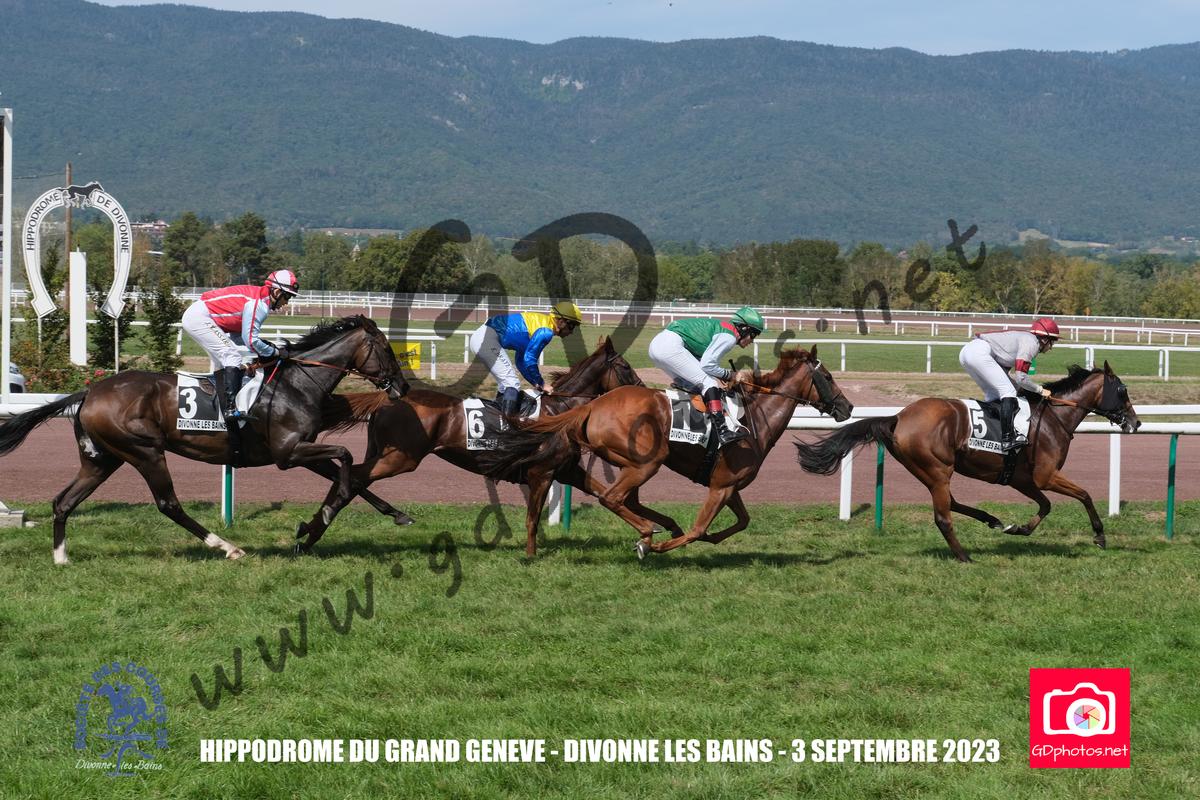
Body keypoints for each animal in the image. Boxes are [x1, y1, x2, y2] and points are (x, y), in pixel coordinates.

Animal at [0, 315, 406, 564]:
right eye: (388, 349)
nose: (402, 387)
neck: (297, 383)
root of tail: (89, 391)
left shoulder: (302, 450)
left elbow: (352, 476)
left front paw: (396, 514)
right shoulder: (288, 452)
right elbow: (346, 459)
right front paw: (319, 519)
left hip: (102, 459)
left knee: (63, 501)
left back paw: (61, 558)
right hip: (145, 451)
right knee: (169, 504)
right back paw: (226, 547)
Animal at [293, 336, 644, 554]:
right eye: (626, 367)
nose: (644, 388)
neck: (560, 411)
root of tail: (388, 398)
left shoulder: (568, 471)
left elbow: (605, 495)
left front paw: (647, 535)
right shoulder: (541, 473)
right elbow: (532, 519)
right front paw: (530, 556)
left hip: (383, 452)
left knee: (350, 480)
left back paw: (311, 533)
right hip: (400, 458)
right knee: (352, 477)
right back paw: (315, 531)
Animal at [482, 346, 854, 557]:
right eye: (828, 376)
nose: (847, 407)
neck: (753, 419)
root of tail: (592, 405)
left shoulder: (729, 484)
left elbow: (742, 521)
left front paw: (709, 540)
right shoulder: (721, 486)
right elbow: (699, 529)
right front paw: (661, 547)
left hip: (632, 462)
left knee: (626, 499)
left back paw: (659, 527)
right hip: (649, 461)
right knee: (613, 498)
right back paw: (648, 536)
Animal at [795, 361, 1141, 562]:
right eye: (1123, 390)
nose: (1136, 423)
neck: (1055, 418)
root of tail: (897, 418)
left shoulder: (1023, 479)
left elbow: (1045, 505)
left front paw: (1020, 529)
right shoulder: (1045, 475)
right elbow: (1084, 495)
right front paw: (1099, 535)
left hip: (928, 470)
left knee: (952, 502)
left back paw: (992, 520)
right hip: (937, 469)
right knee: (943, 516)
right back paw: (964, 556)